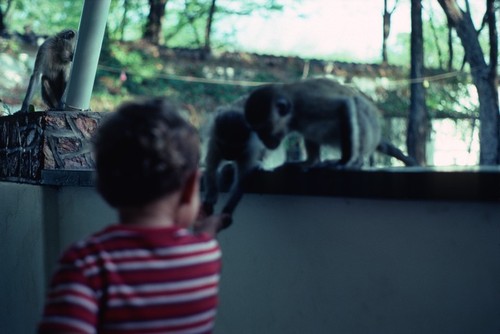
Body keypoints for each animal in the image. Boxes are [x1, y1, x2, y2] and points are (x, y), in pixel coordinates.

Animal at [243, 77, 418, 168]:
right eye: (257, 131)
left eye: (264, 129)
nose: (265, 141)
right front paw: (310, 162)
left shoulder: (306, 103)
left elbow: (345, 104)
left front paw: (345, 161)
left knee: (357, 105)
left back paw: (357, 160)